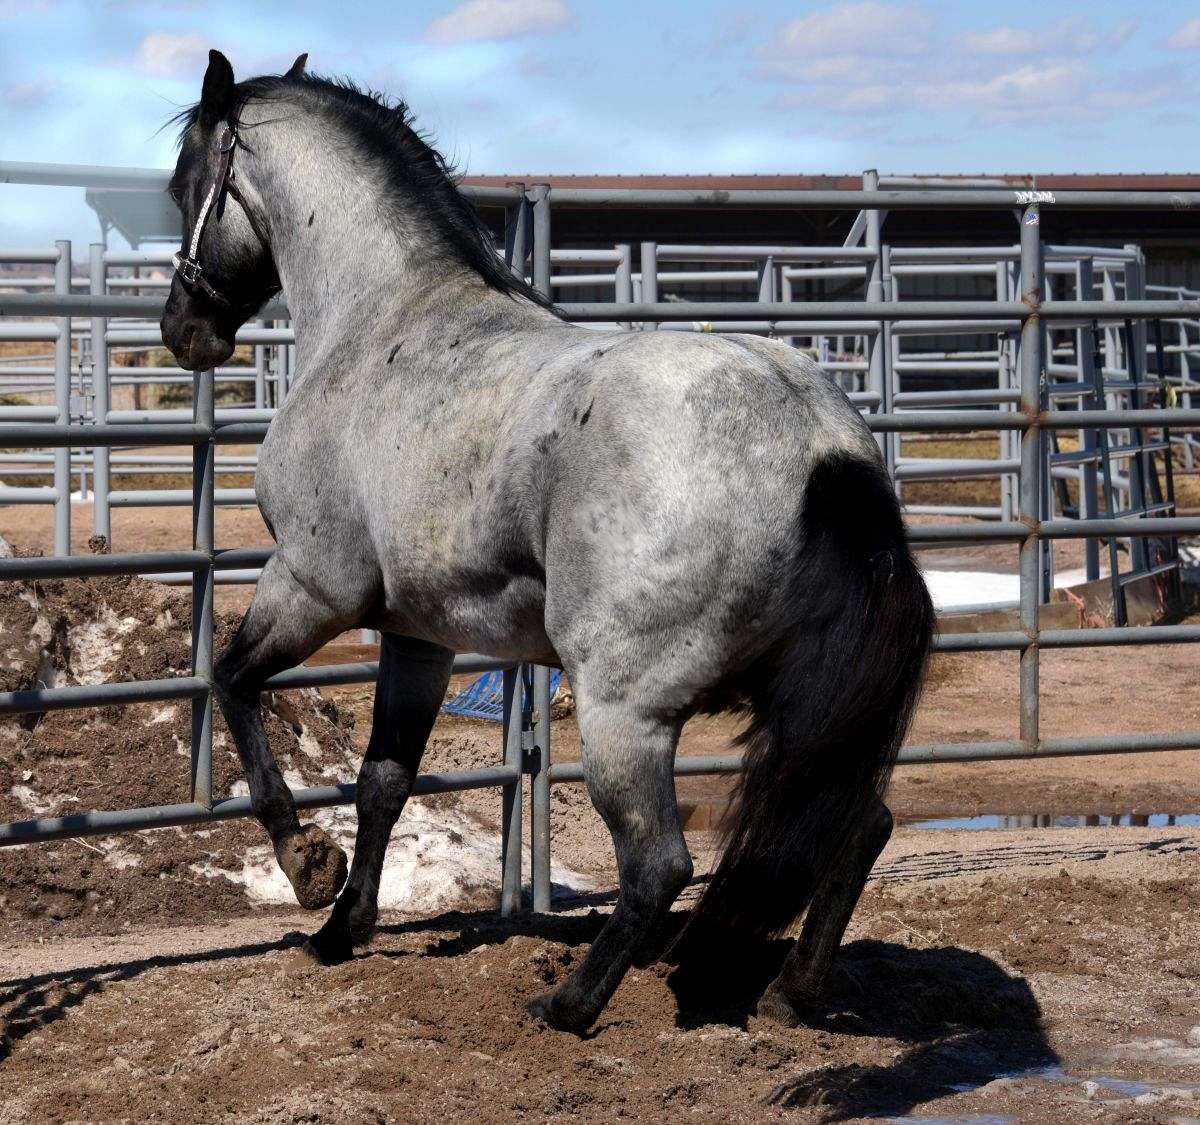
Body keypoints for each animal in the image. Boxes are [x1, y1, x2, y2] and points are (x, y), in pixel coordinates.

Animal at [159, 54, 931, 1036]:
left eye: (186, 184)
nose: (182, 330)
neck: (385, 321)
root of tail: (819, 443)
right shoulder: (419, 635)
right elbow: (383, 778)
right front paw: (343, 928)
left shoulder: (311, 585)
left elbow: (231, 682)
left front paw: (309, 870)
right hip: (793, 699)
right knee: (857, 821)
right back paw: (794, 992)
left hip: (624, 710)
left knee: (660, 861)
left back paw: (568, 1003)